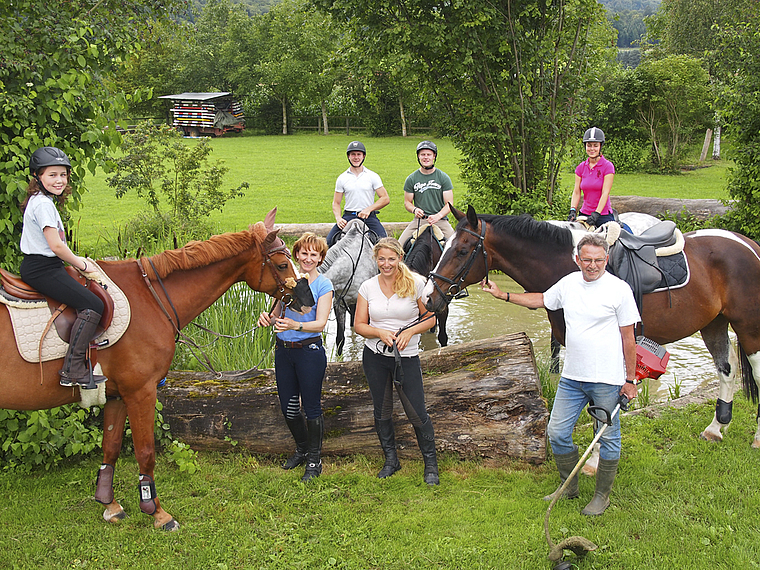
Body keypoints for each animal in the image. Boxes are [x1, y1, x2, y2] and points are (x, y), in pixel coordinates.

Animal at [0, 211, 314, 532]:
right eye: (282, 264)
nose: (308, 300)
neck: (151, 300)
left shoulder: (117, 395)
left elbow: (110, 446)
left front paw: (110, 505)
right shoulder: (141, 392)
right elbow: (146, 452)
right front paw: (156, 511)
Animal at [428, 202, 760, 446]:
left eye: (462, 250)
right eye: (444, 247)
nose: (430, 298)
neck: (569, 267)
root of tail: (749, 245)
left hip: (748, 327)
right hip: (714, 323)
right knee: (727, 369)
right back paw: (715, 428)